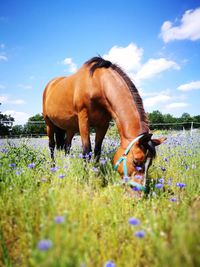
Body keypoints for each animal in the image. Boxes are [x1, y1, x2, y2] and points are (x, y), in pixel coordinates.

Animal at [42, 56, 166, 192]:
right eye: (136, 161)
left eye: (150, 163)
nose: (138, 192)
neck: (97, 83)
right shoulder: (83, 119)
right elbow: (87, 151)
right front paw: (87, 180)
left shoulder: (103, 124)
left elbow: (97, 151)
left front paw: (96, 175)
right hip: (49, 123)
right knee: (52, 146)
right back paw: (53, 168)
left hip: (70, 128)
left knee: (67, 147)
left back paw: (66, 167)